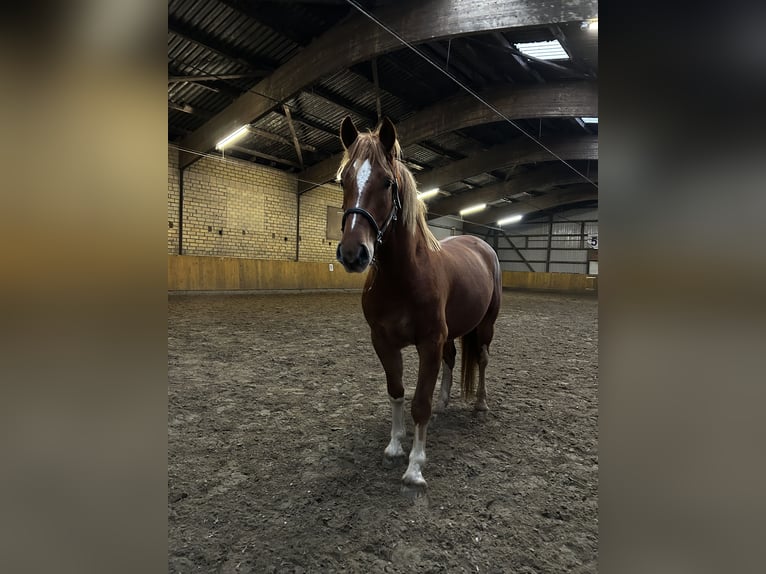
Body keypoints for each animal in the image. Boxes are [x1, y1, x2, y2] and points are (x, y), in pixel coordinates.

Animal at [336, 116, 504, 490]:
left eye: (387, 182)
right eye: (344, 180)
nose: (353, 254)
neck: (403, 277)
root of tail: (482, 245)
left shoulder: (429, 342)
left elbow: (419, 403)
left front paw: (415, 466)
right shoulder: (383, 342)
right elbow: (397, 392)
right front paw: (395, 445)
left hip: (486, 325)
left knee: (483, 359)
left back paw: (481, 404)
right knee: (452, 359)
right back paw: (445, 403)